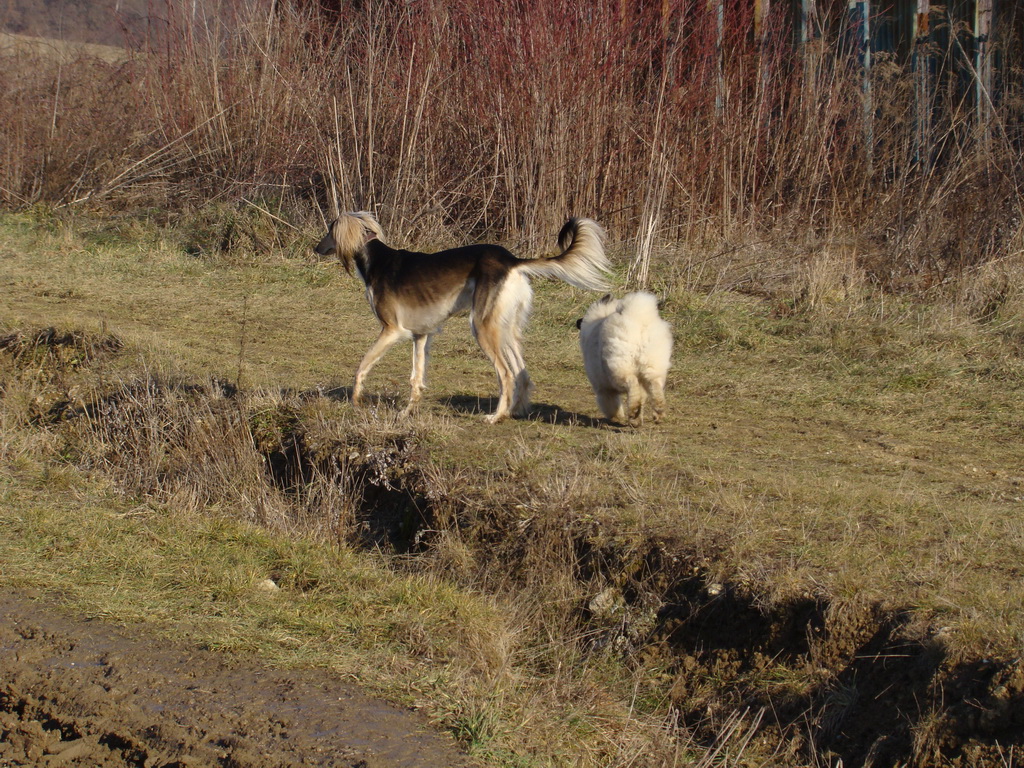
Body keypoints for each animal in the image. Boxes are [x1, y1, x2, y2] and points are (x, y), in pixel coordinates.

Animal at [577, 292, 671, 428]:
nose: (577, 321)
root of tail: (638, 319)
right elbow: (642, 399)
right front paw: (637, 420)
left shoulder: (603, 387)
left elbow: (611, 404)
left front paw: (616, 418)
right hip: (653, 366)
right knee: (654, 386)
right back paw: (658, 412)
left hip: (621, 368)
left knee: (632, 384)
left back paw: (633, 411)